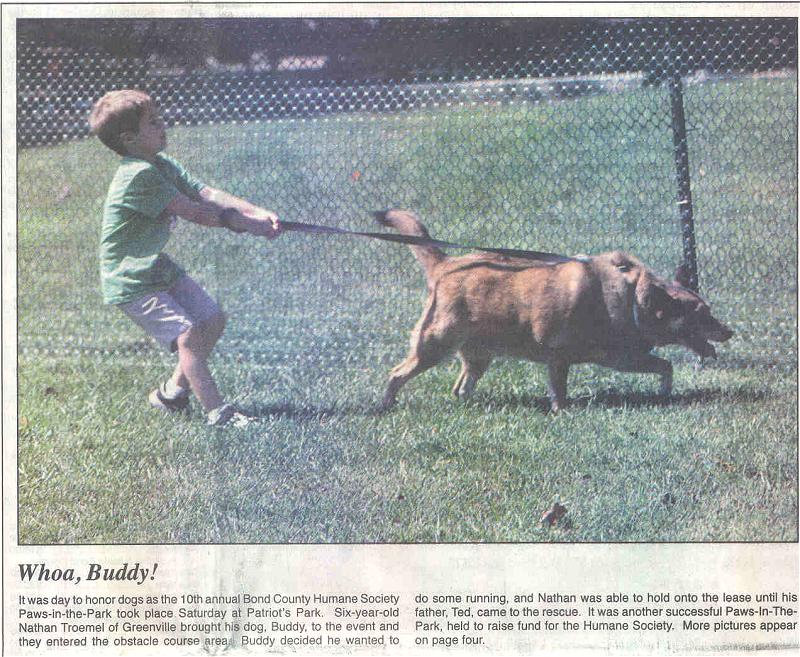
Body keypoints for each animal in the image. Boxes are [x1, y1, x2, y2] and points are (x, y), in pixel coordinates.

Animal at [378, 210, 736, 410]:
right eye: (700, 314)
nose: (730, 331)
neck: (631, 299)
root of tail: (446, 264)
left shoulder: (621, 358)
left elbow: (665, 366)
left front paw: (664, 392)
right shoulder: (559, 357)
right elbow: (559, 390)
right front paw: (561, 410)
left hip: (478, 356)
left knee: (460, 387)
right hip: (434, 346)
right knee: (397, 374)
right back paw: (385, 405)